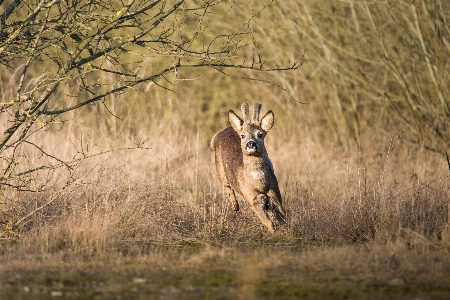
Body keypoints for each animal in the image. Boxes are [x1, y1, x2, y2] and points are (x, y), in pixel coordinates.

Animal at [210, 102, 284, 233]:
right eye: (243, 135)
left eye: (260, 134)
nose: (251, 143)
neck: (260, 185)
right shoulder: (253, 200)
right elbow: (269, 223)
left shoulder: (275, 195)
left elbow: (284, 220)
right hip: (220, 173)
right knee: (228, 186)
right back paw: (235, 207)